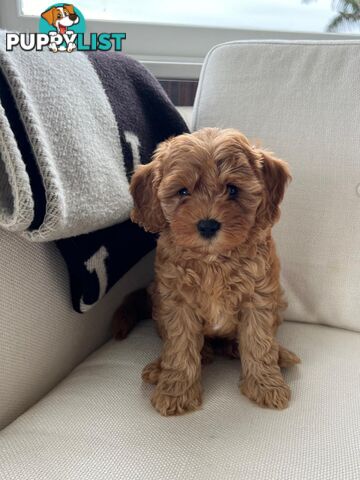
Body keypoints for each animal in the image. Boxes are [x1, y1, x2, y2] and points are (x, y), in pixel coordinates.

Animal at [114, 128, 298, 416]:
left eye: (232, 189)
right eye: (183, 191)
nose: (208, 225)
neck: (213, 260)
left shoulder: (258, 299)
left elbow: (259, 343)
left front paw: (266, 386)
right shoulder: (177, 303)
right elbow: (179, 348)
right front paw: (176, 392)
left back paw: (275, 354)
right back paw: (165, 365)